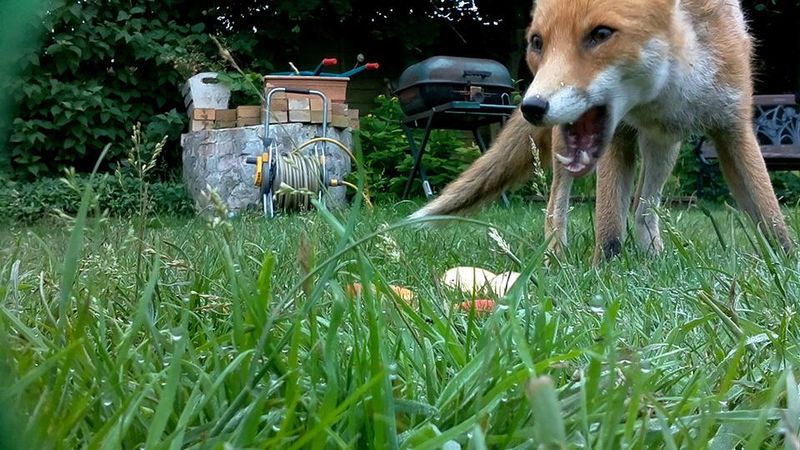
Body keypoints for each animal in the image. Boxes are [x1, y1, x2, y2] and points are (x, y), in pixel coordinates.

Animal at [409, 0, 793, 263]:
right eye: (538, 42)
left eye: (601, 34)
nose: (531, 107)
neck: (666, 93)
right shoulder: (617, 135)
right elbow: (608, 224)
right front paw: (604, 273)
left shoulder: (733, 126)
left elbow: (770, 214)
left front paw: (786, 264)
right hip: (569, 150)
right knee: (555, 206)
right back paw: (554, 257)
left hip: (664, 150)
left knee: (643, 207)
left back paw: (653, 255)